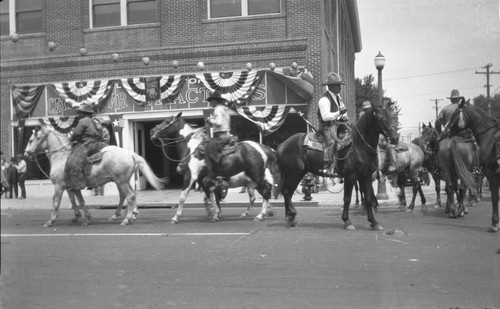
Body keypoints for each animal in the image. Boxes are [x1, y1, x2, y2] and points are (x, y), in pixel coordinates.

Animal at [24, 121, 163, 226]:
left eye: (32, 140)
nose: (26, 154)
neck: (61, 157)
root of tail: (129, 154)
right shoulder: (72, 188)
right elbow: (78, 201)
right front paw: (84, 218)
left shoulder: (59, 186)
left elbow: (56, 202)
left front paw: (51, 220)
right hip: (122, 181)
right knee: (127, 195)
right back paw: (126, 214)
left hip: (121, 181)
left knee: (129, 196)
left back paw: (126, 219)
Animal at [149, 112, 278, 223]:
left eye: (167, 121)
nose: (151, 131)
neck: (191, 148)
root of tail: (264, 148)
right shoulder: (202, 179)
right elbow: (210, 196)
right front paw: (216, 213)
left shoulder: (190, 176)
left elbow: (183, 197)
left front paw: (175, 217)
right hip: (253, 181)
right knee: (259, 195)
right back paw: (258, 213)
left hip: (256, 176)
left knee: (265, 192)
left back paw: (260, 215)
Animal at [276, 100, 396, 229]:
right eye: (380, 117)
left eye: (391, 116)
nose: (395, 137)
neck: (359, 146)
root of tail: (282, 145)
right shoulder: (350, 176)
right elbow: (347, 198)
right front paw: (347, 221)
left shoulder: (366, 176)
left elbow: (368, 198)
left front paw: (374, 222)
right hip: (294, 174)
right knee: (287, 192)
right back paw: (291, 216)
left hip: (294, 174)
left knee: (287, 192)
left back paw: (290, 219)